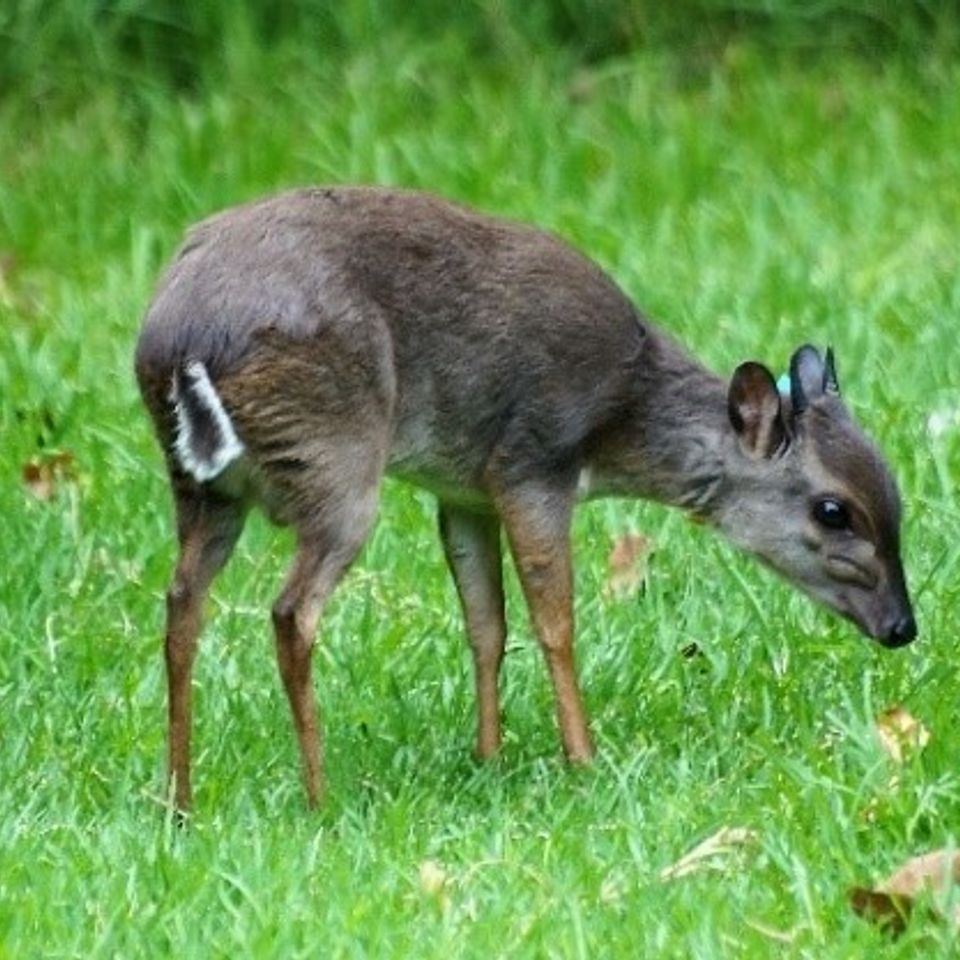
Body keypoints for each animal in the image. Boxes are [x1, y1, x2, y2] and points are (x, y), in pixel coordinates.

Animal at [135, 182, 916, 808]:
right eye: (833, 509)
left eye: (896, 499)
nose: (902, 627)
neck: (618, 416)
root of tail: (182, 338)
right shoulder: (532, 461)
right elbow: (555, 619)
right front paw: (584, 759)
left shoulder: (464, 490)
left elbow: (486, 622)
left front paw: (489, 757)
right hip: (338, 462)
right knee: (290, 612)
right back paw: (319, 798)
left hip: (203, 488)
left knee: (182, 603)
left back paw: (179, 799)